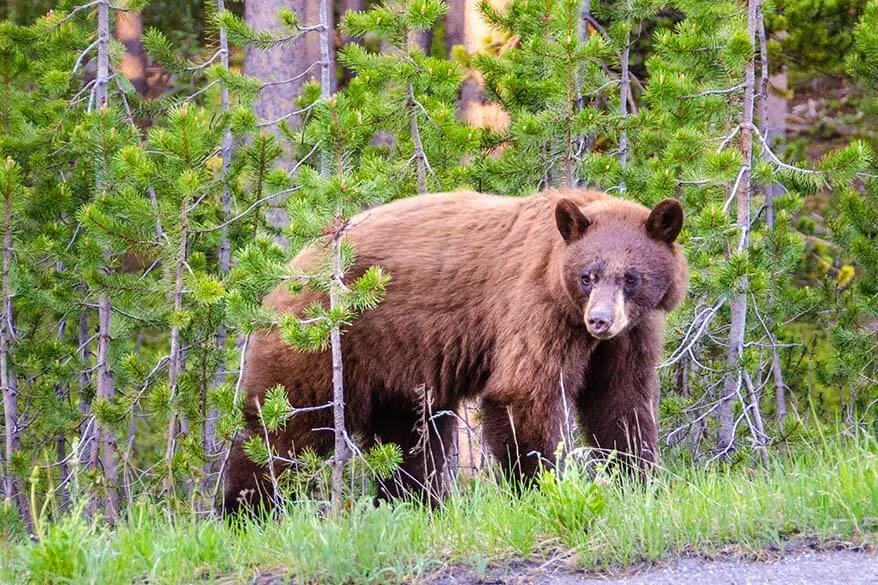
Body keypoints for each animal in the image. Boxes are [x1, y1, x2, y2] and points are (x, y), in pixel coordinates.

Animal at [220, 187, 688, 512]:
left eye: (631, 277)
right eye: (588, 275)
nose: (600, 321)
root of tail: (288, 271)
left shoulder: (631, 333)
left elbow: (620, 402)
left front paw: (639, 479)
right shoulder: (536, 307)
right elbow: (523, 391)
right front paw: (539, 486)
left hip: (398, 367)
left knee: (410, 438)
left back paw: (414, 503)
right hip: (318, 345)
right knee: (281, 430)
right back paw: (246, 510)